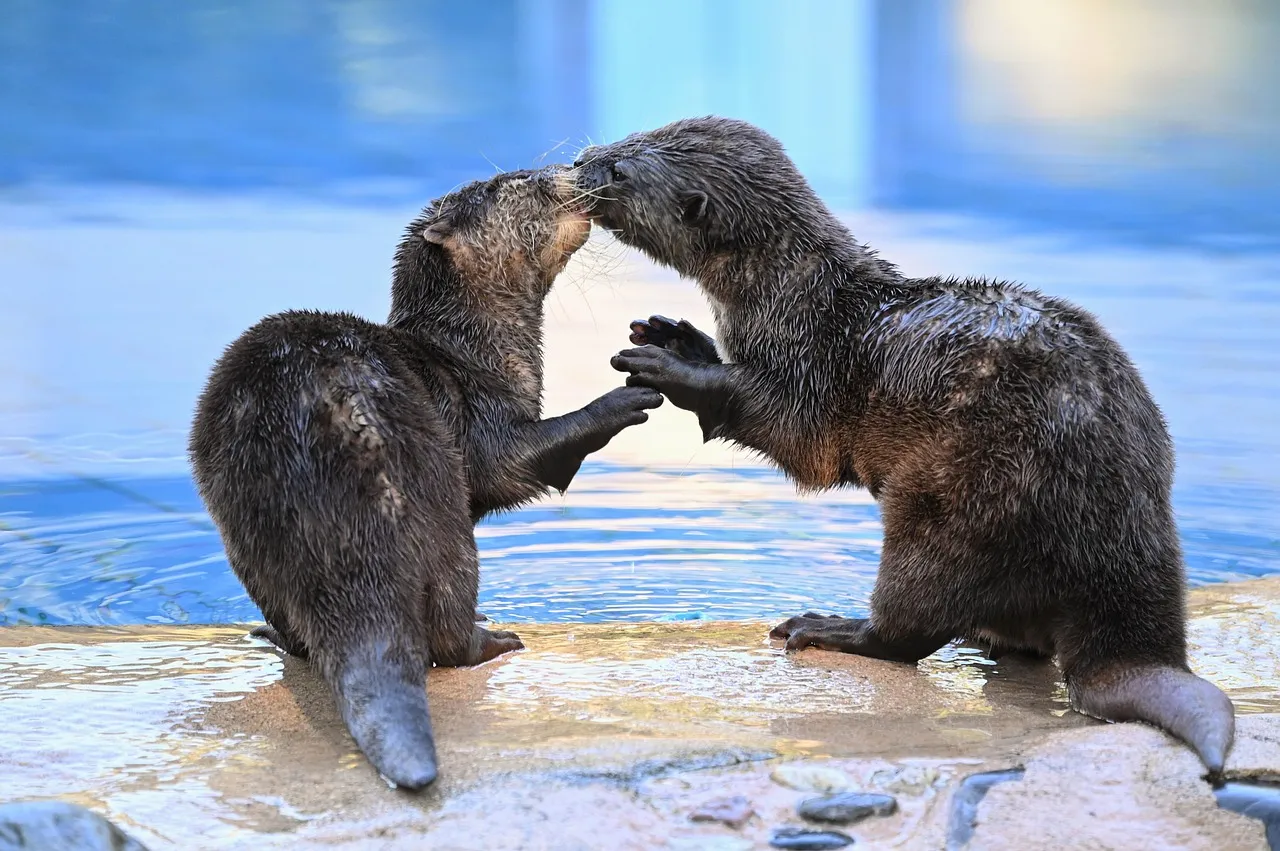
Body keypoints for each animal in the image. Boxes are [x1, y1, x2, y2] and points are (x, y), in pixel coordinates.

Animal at [188, 165, 662, 790]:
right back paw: (494, 638)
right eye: (517, 182)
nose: (571, 171)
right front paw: (627, 396)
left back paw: (274, 636)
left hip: (246, 531)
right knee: (449, 633)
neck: (472, 353)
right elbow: (512, 465)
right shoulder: (481, 416)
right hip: (441, 514)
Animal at [572, 117, 1235, 775]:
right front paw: (673, 335)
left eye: (621, 171)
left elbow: (792, 435)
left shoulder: (814, 370)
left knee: (910, 627)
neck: (793, 298)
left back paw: (829, 626)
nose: (580, 161)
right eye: (628, 137)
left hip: (954, 499)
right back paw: (981, 637)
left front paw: (671, 366)